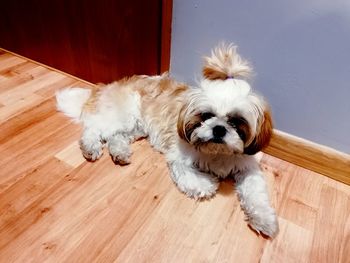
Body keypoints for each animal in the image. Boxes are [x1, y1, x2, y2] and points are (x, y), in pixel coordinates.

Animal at [54, 43, 278, 237]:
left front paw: (264, 219)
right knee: (94, 128)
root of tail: (107, 86)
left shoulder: (247, 166)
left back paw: (120, 152)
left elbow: (256, 193)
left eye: (236, 121)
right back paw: (90, 147)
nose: (219, 129)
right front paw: (208, 183)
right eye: (206, 115)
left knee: (115, 137)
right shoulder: (179, 158)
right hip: (124, 115)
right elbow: (194, 180)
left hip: (136, 127)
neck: (217, 152)